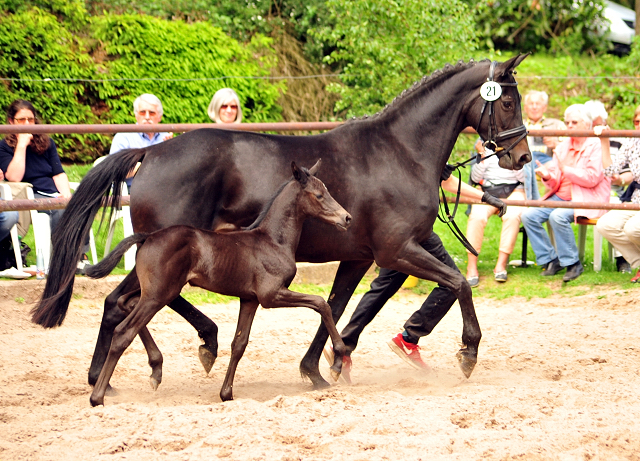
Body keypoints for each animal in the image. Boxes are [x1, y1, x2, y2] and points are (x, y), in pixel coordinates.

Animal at [84, 161, 350, 402]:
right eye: (319, 195)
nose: (346, 218)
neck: (273, 240)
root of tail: (148, 236)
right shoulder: (271, 295)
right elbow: (321, 303)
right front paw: (339, 357)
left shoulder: (250, 300)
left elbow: (239, 344)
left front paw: (226, 394)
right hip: (159, 294)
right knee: (123, 331)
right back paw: (98, 397)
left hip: (150, 291)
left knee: (124, 303)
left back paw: (156, 371)